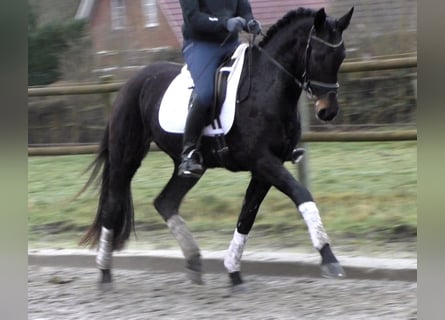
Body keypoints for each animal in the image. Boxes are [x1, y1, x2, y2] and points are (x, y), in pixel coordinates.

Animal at [80, 7, 354, 288]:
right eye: (319, 55)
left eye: (342, 56)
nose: (328, 111)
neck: (266, 86)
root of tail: (130, 82)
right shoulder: (263, 161)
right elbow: (302, 195)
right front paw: (329, 257)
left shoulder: (265, 168)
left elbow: (247, 215)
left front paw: (233, 269)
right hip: (126, 155)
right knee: (113, 205)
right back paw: (104, 272)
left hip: (189, 167)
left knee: (165, 202)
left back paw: (193, 260)